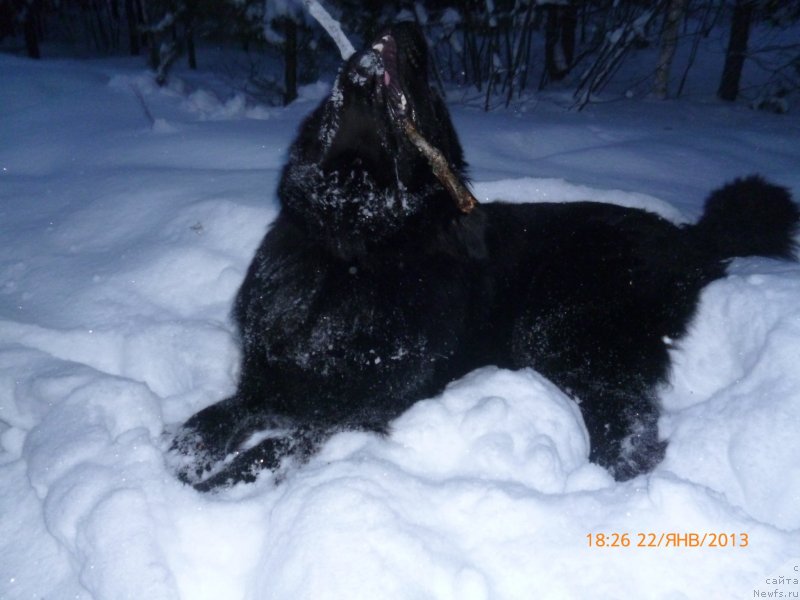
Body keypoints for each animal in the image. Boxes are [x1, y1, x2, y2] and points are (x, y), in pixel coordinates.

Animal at [167, 23, 792, 492]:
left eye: (432, 94)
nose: (409, 28)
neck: (353, 248)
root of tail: (689, 235)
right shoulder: (272, 381)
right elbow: (211, 418)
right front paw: (184, 455)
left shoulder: (365, 406)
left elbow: (274, 446)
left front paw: (221, 482)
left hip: (561, 323)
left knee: (630, 426)